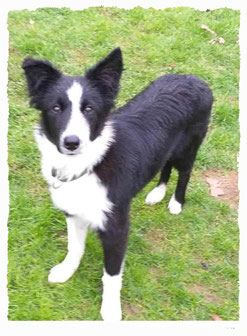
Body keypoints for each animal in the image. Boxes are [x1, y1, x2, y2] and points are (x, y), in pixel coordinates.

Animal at [22, 48, 213, 322]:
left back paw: (176, 202)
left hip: (188, 148)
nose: (72, 142)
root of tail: (194, 78)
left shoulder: (117, 227)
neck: (90, 164)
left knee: (185, 173)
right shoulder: (74, 213)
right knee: (165, 166)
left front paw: (111, 309)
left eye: (89, 109)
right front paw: (66, 271)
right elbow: (74, 247)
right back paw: (157, 193)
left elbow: (111, 275)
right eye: (56, 108)